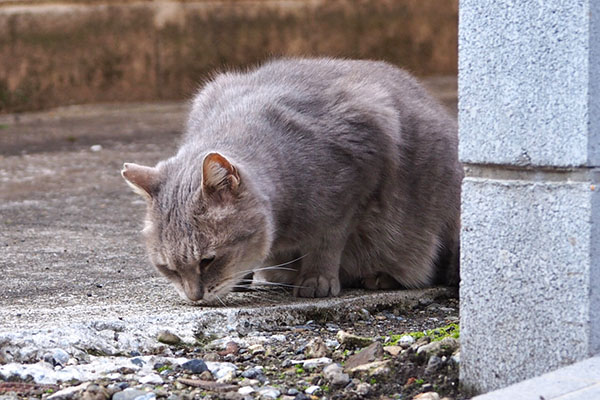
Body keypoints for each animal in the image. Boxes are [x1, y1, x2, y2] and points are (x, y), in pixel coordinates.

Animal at [120, 57, 460, 302]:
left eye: (208, 260)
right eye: (167, 268)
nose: (194, 297)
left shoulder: (356, 178)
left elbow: (327, 240)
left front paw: (316, 279)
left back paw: (382, 276)